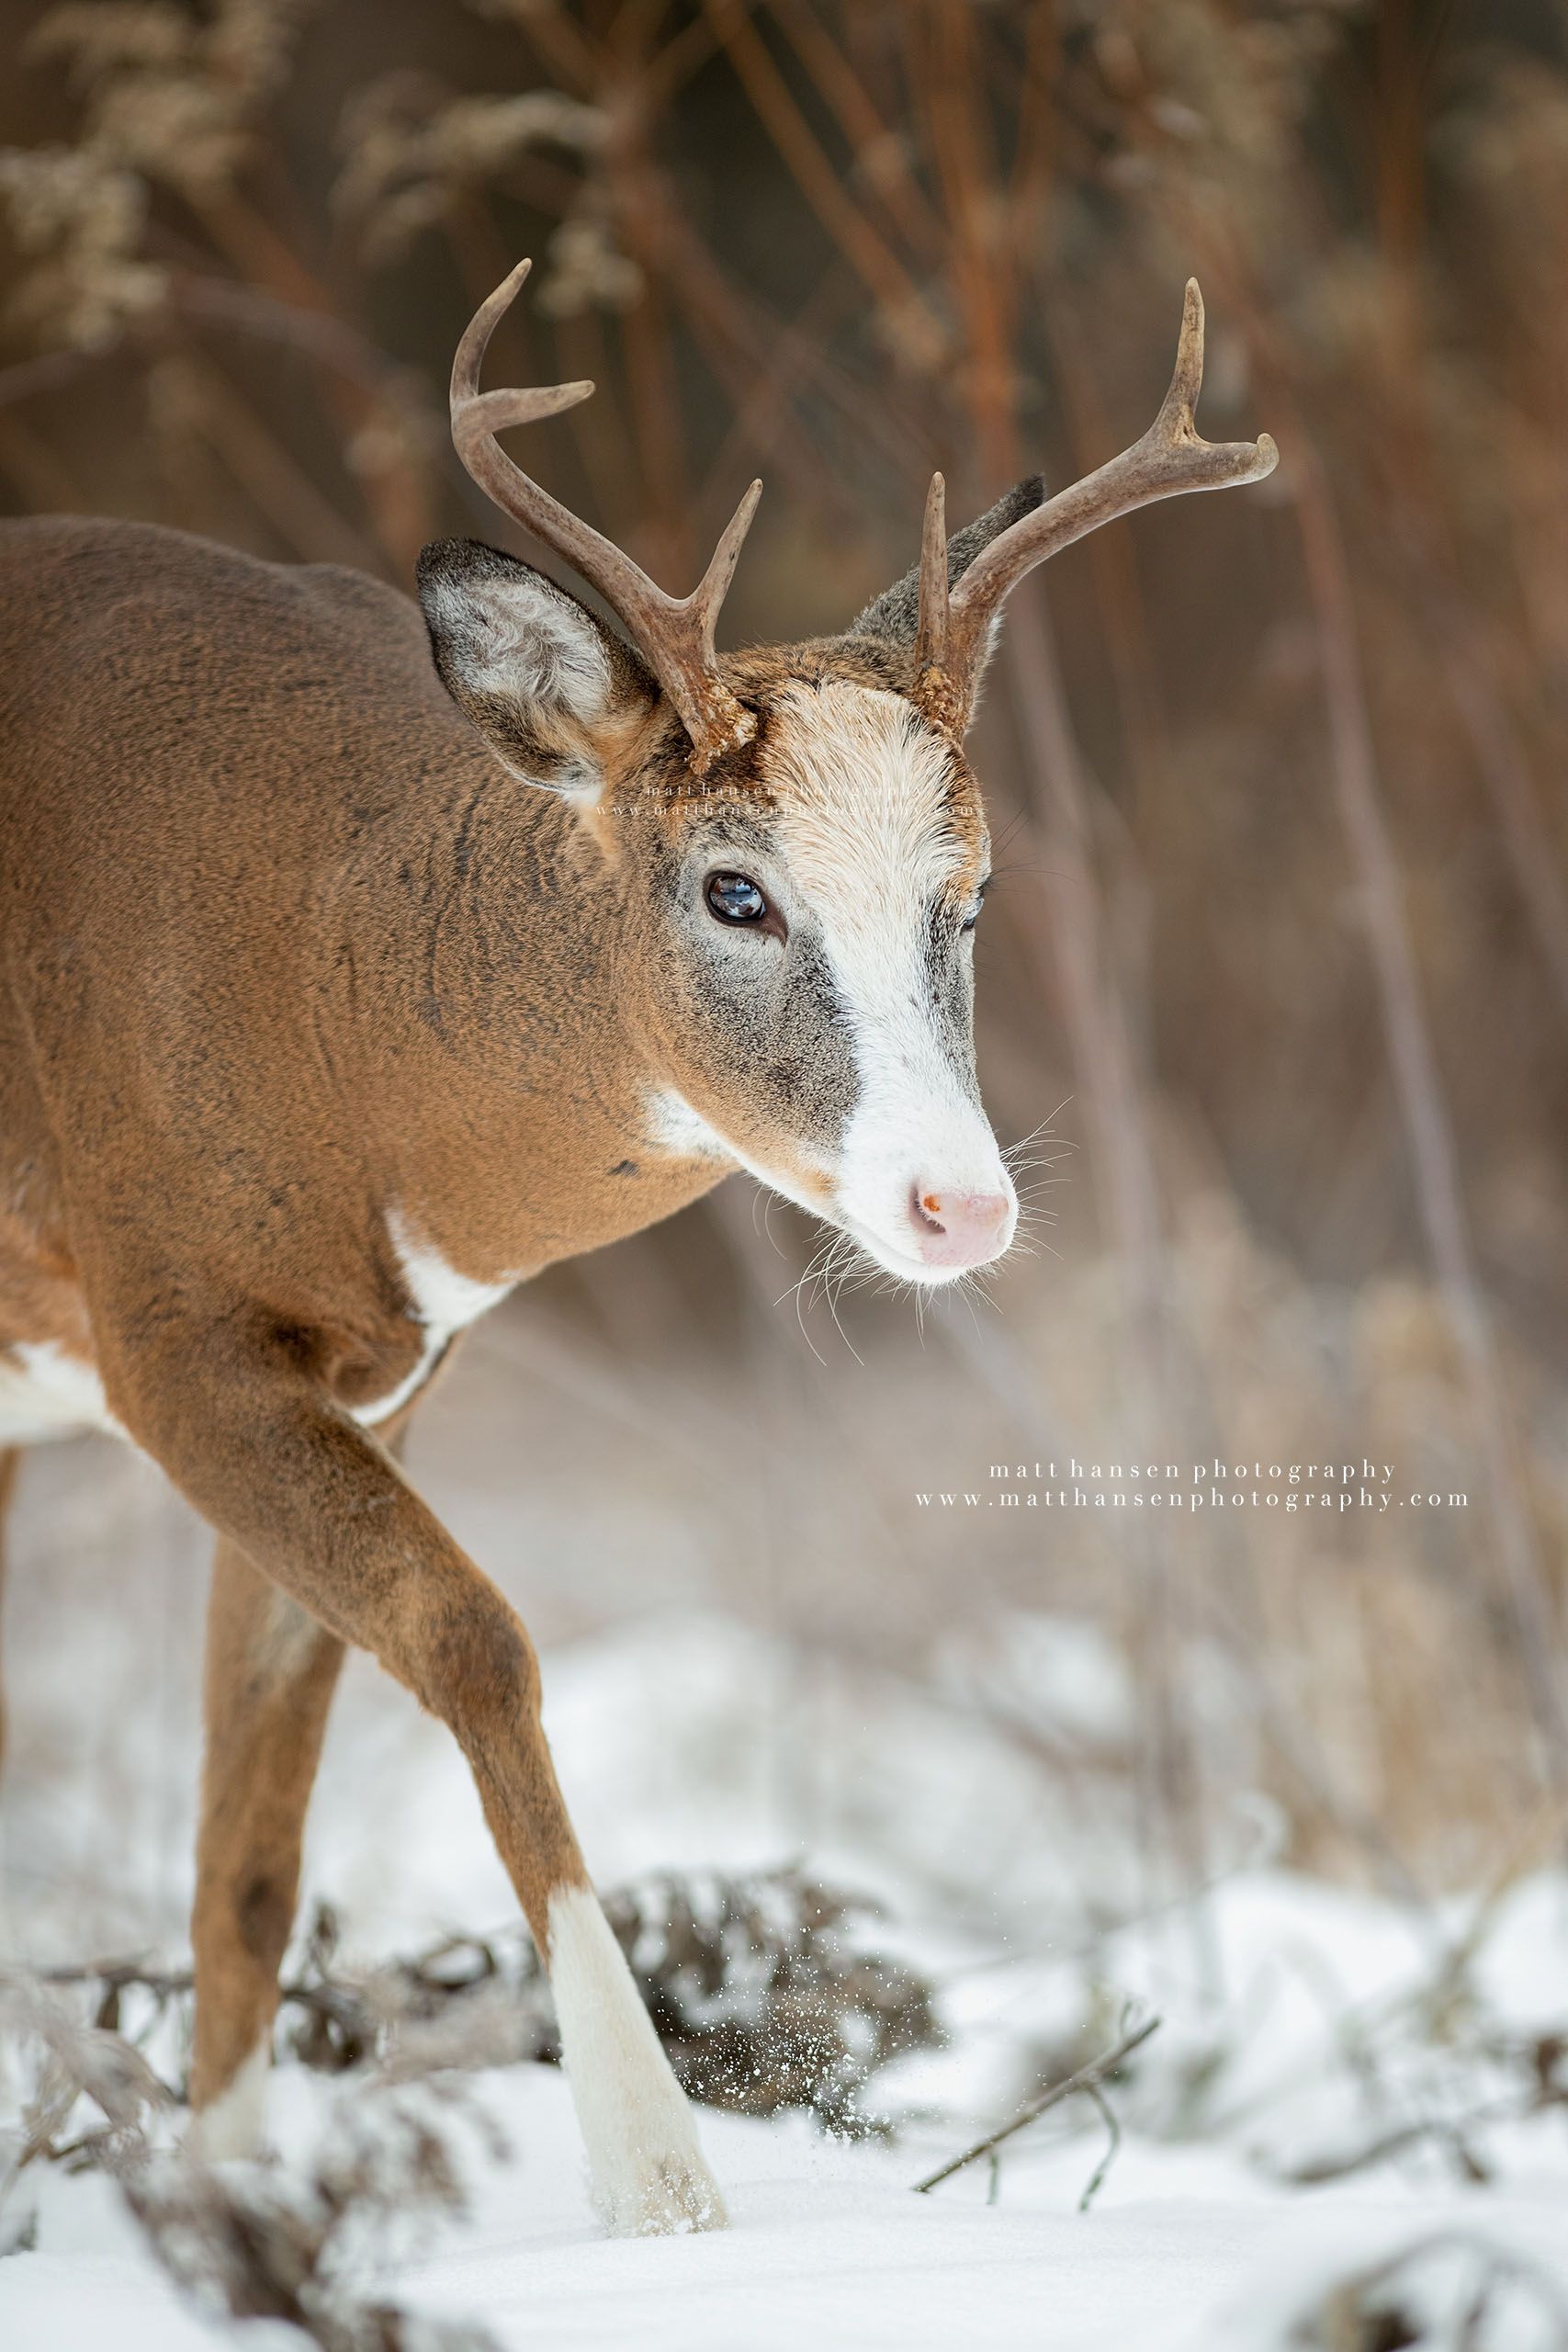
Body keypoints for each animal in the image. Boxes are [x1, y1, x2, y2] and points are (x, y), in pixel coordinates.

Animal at [0, 266, 1279, 2229]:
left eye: (969, 896)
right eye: (734, 889)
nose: (960, 1203)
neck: (321, 1010)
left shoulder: (372, 1372)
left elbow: (250, 1848)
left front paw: (236, 2221)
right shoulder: (167, 1322)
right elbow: (474, 1639)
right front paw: (658, 2184)